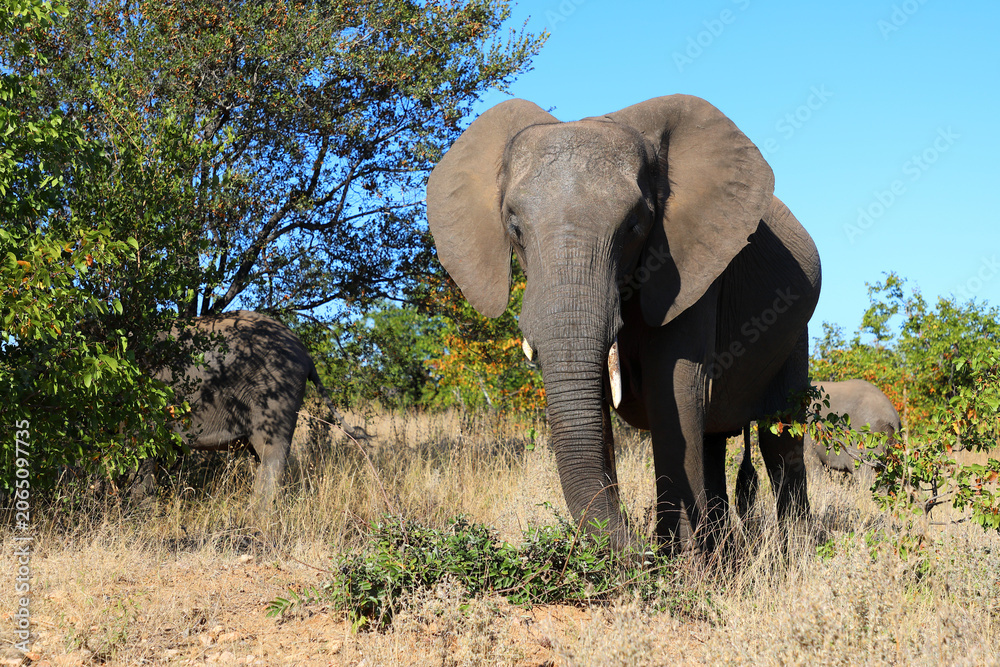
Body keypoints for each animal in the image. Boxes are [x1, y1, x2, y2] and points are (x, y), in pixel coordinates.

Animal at [427, 95, 821, 553]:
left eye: (634, 225)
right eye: (514, 227)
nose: (637, 541)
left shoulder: (692, 269)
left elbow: (675, 391)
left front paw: (676, 564)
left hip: (796, 333)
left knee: (779, 439)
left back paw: (793, 553)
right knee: (713, 441)